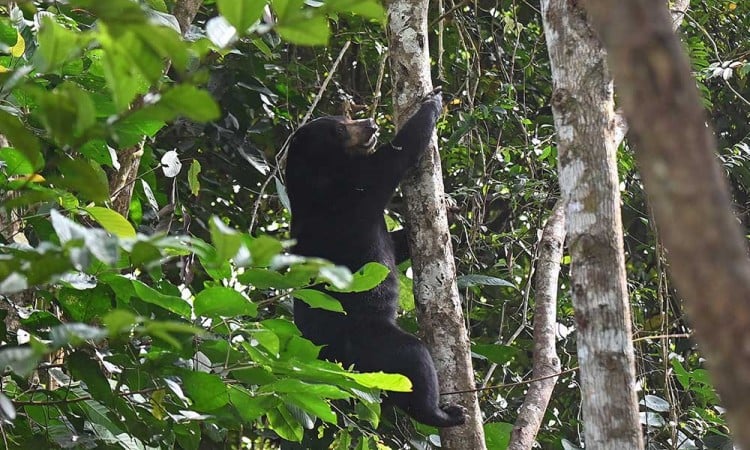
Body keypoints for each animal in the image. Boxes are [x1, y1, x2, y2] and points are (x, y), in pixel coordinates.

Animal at [284, 89, 468, 428]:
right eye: (340, 129)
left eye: (345, 118)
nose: (369, 123)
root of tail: (332, 360)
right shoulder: (353, 193)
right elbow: (395, 158)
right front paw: (433, 103)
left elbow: (396, 246)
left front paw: (451, 208)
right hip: (373, 343)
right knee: (414, 360)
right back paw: (442, 414)